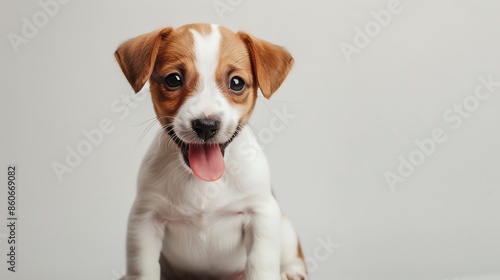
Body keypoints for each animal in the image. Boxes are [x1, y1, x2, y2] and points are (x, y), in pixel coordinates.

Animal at [115, 23, 306, 280]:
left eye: (236, 83)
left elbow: (261, 265)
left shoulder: (261, 214)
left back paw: (292, 270)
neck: (203, 182)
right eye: (173, 79)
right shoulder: (145, 219)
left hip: (284, 227)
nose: (206, 126)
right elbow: (142, 268)